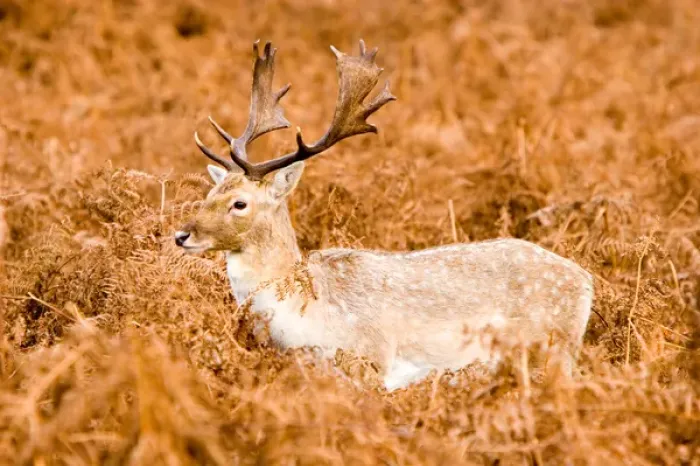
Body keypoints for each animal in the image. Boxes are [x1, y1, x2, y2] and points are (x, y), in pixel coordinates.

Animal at [174, 40, 594, 391]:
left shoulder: (371, 358)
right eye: (209, 192)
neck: (305, 314)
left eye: (239, 203)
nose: (182, 235)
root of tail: (585, 279)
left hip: (554, 348)